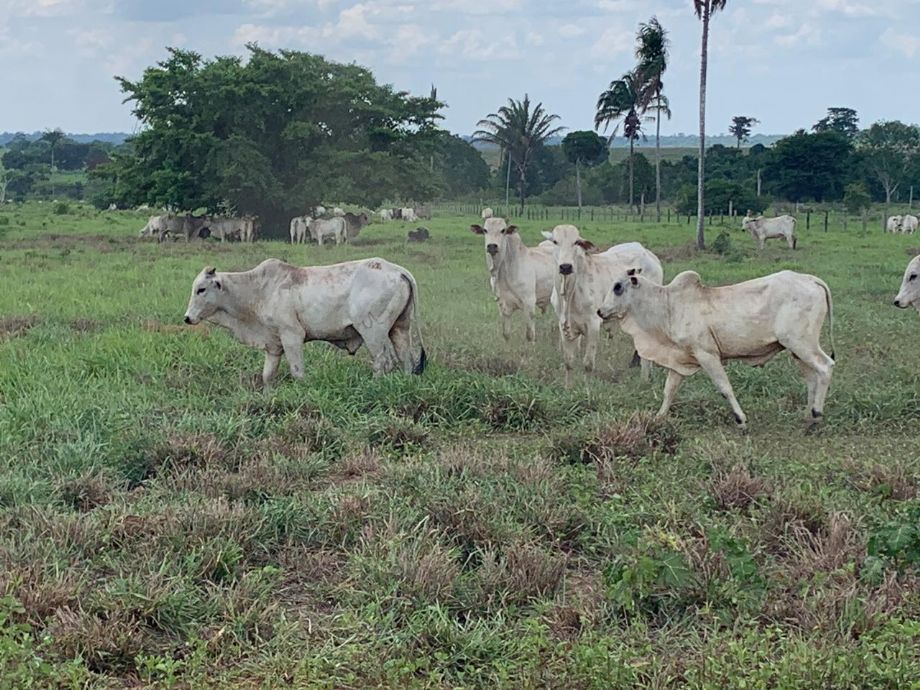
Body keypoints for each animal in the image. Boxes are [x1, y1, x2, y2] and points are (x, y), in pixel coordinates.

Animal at [183, 258, 426, 388]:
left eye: (201, 289)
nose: (187, 318)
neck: (259, 290)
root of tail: (398, 271)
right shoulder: (274, 344)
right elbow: (267, 375)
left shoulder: (292, 336)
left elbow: (297, 372)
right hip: (400, 329)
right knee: (406, 360)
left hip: (372, 332)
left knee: (383, 362)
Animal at [541, 224, 663, 384]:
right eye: (555, 241)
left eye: (576, 242)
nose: (566, 267)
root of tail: (649, 254)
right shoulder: (564, 325)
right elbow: (568, 362)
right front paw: (568, 387)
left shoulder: (593, 324)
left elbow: (588, 364)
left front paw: (586, 388)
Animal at [597, 269, 835, 429]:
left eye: (618, 287)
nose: (600, 311)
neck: (668, 307)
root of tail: (811, 279)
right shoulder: (681, 358)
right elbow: (669, 390)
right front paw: (659, 417)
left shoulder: (707, 354)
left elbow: (724, 387)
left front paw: (741, 420)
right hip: (797, 349)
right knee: (811, 378)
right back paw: (807, 416)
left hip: (801, 343)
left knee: (825, 367)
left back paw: (817, 414)